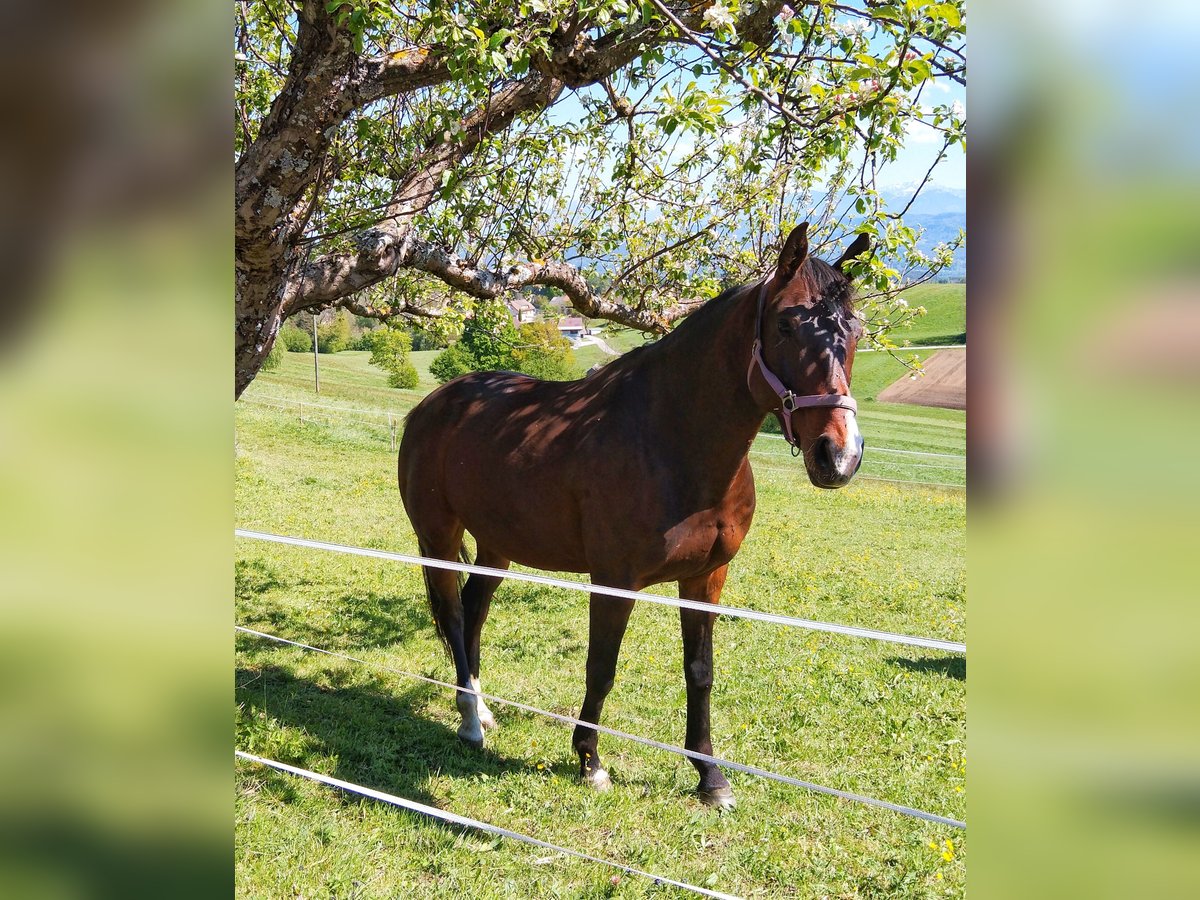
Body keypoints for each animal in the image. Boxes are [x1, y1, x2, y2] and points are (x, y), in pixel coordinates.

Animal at [398, 224, 868, 811]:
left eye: (856, 330)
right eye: (786, 324)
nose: (839, 455)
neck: (672, 441)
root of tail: (434, 403)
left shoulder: (706, 578)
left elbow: (700, 673)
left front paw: (710, 777)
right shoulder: (615, 581)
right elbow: (601, 668)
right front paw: (590, 762)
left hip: (497, 547)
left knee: (473, 613)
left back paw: (481, 710)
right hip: (438, 538)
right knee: (455, 618)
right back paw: (469, 722)